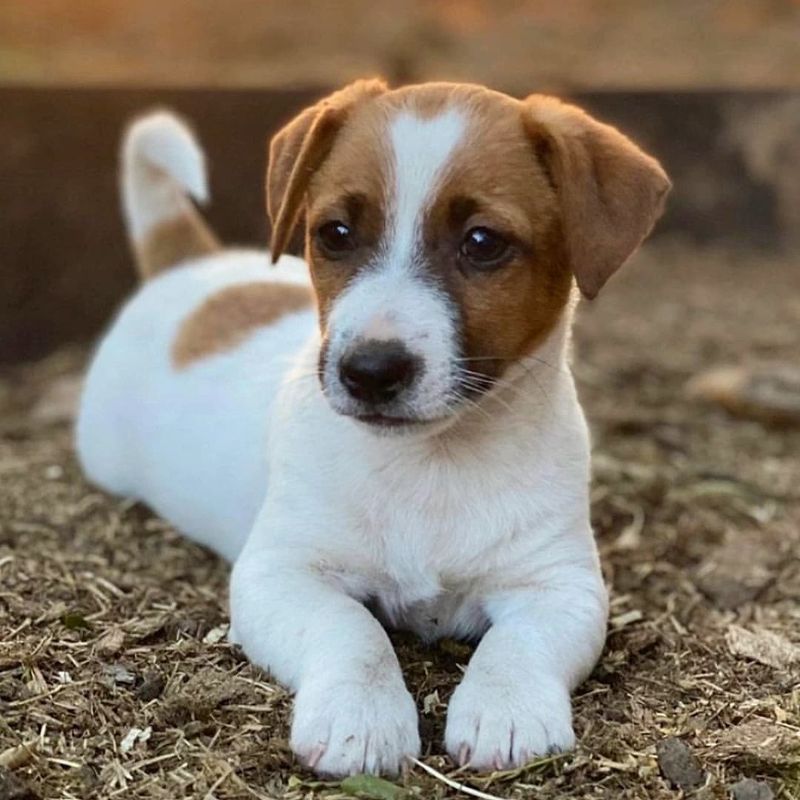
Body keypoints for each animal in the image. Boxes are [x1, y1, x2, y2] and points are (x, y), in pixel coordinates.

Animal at [79, 79, 668, 776]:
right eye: (334, 234)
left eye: (482, 242)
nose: (369, 371)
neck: (432, 459)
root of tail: (190, 267)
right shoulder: (280, 573)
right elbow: (351, 632)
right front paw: (360, 719)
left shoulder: (559, 584)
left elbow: (519, 643)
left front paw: (508, 708)